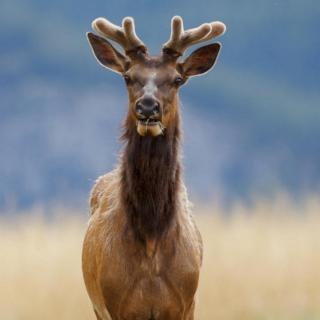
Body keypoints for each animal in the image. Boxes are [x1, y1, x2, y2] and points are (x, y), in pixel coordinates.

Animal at [82, 13, 228, 318]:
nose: (148, 107)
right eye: (128, 77)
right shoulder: (115, 306)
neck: (151, 245)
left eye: (177, 79)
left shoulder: (186, 304)